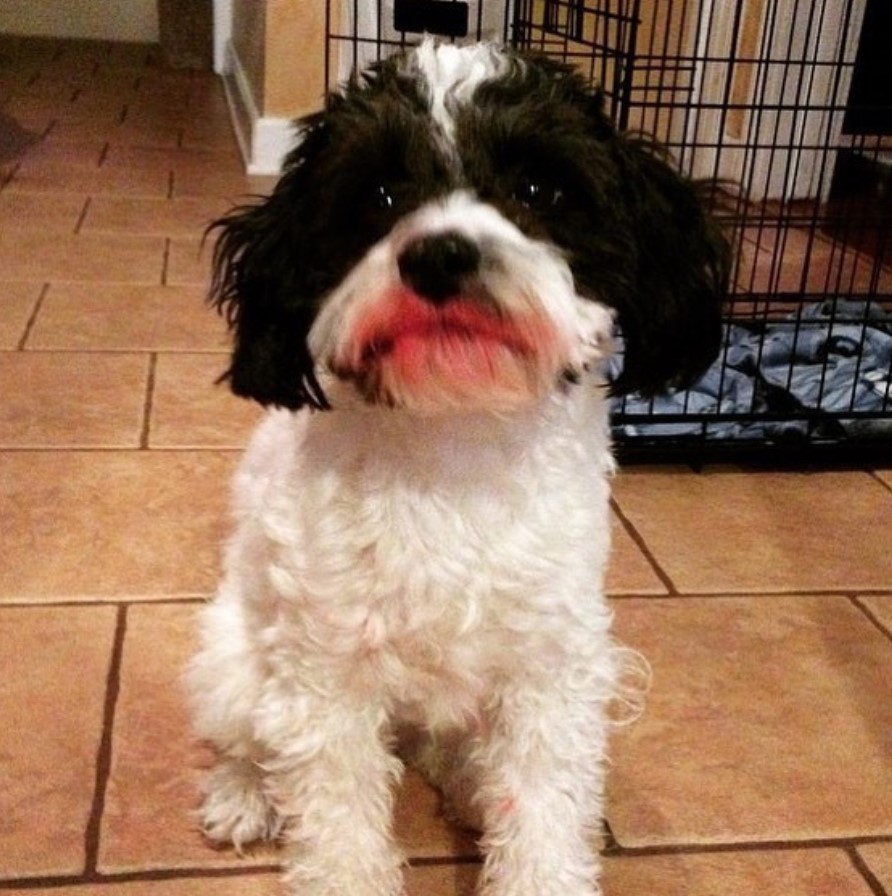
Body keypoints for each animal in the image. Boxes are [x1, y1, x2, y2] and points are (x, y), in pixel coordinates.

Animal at [186, 36, 732, 896]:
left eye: (538, 188)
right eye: (379, 195)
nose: (441, 254)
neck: (456, 446)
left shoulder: (549, 671)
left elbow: (543, 814)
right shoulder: (326, 678)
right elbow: (336, 820)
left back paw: (471, 782)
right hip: (236, 663)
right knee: (252, 741)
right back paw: (244, 794)